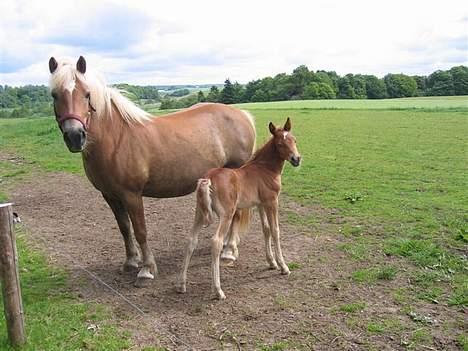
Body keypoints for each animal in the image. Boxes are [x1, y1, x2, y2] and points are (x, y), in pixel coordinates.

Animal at [47, 56, 256, 288]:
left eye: (86, 94)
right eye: (54, 94)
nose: (75, 136)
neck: (116, 139)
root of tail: (242, 114)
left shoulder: (132, 195)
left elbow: (140, 231)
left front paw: (146, 269)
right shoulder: (110, 196)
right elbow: (124, 228)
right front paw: (130, 261)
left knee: (236, 214)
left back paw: (229, 250)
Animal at [177, 118, 302, 300]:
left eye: (294, 140)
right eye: (280, 144)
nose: (296, 159)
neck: (264, 169)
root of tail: (208, 179)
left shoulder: (261, 204)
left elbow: (266, 229)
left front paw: (271, 263)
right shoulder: (272, 202)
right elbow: (275, 230)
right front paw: (283, 267)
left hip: (199, 213)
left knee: (191, 239)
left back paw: (182, 284)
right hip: (226, 215)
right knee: (216, 242)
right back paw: (218, 290)